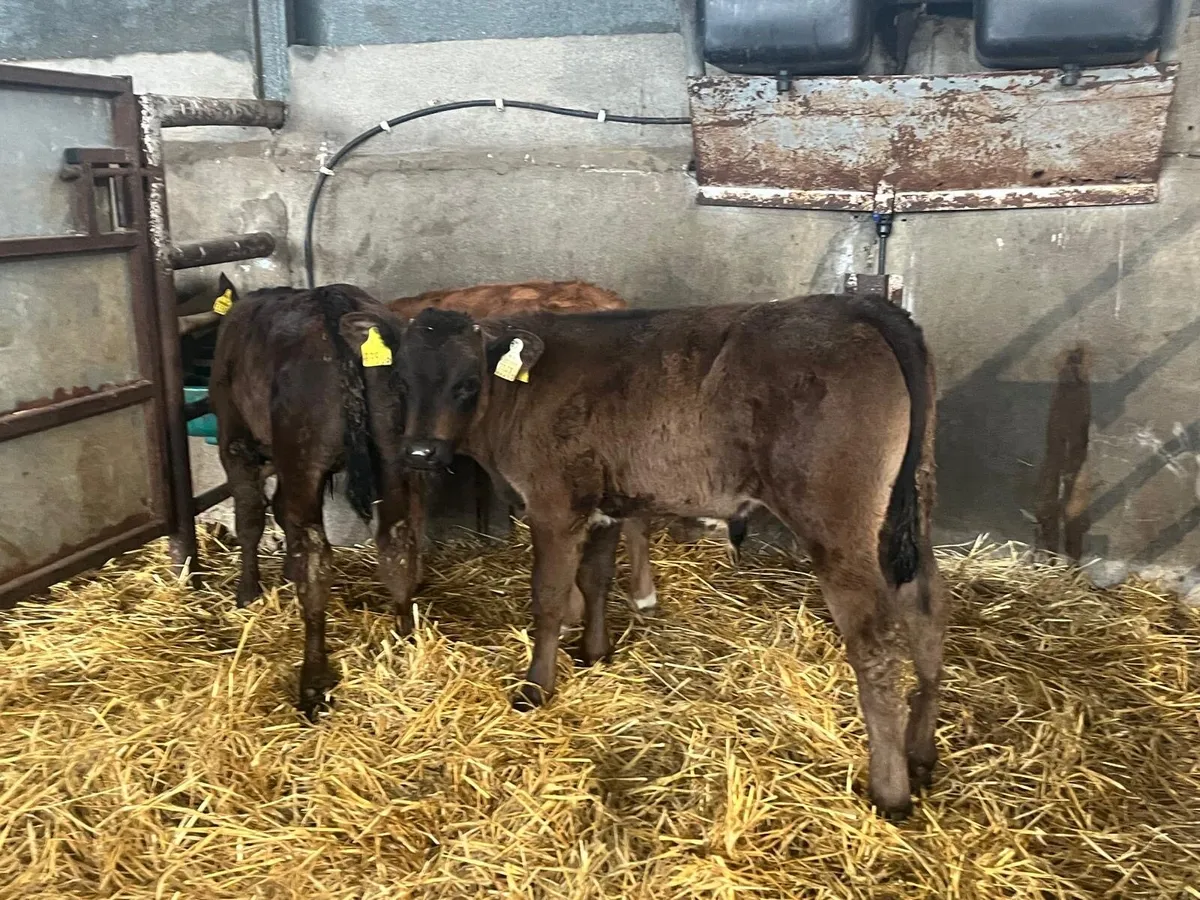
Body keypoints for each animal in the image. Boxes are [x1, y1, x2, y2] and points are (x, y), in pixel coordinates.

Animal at [339, 294, 946, 818]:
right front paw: (595, 653)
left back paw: (889, 791)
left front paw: (535, 689)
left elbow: (550, 598)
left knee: (876, 642)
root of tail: (857, 304)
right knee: (926, 612)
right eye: (401, 380)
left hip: (838, 523)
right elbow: (596, 578)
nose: (420, 453)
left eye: (467, 384)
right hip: (910, 509)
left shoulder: (554, 505)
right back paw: (920, 755)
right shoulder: (604, 502)